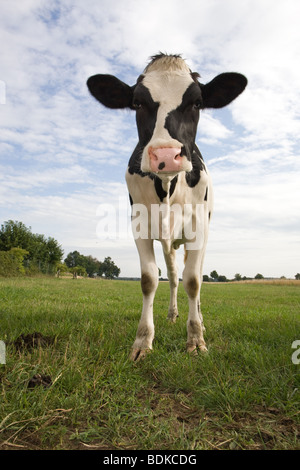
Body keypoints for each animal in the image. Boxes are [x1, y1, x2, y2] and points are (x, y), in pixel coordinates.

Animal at [86, 52, 246, 360]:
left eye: (197, 102)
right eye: (137, 103)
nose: (165, 155)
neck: (168, 186)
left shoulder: (198, 227)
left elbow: (194, 281)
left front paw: (195, 339)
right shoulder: (140, 225)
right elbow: (150, 279)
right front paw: (142, 341)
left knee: (194, 276)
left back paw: (200, 321)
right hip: (168, 241)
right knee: (172, 276)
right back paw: (172, 314)